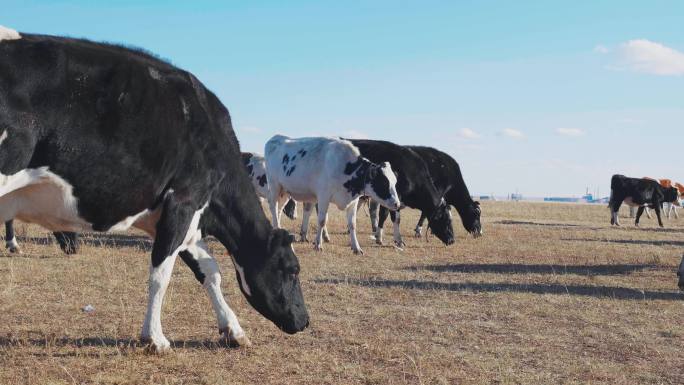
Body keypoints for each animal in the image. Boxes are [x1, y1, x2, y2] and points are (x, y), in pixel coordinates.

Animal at [0, 26, 308, 352]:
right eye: (292, 269)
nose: (304, 321)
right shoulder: (184, 201)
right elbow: (161, 274)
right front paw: (155, 338)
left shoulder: (186, 219)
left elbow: (210, 271)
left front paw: (233, 330)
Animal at [264, 134, 404, 254]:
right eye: (383, 183)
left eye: (395, 182)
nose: (397, 204)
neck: (345, 166)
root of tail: (276, 138)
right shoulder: (323, 196)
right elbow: (322, 221)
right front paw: (318, 244)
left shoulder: (353, 201)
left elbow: (352, 224)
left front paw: (356, 247)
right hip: (275, 186)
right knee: (273, 207)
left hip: (284, 191)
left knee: (279, 209)